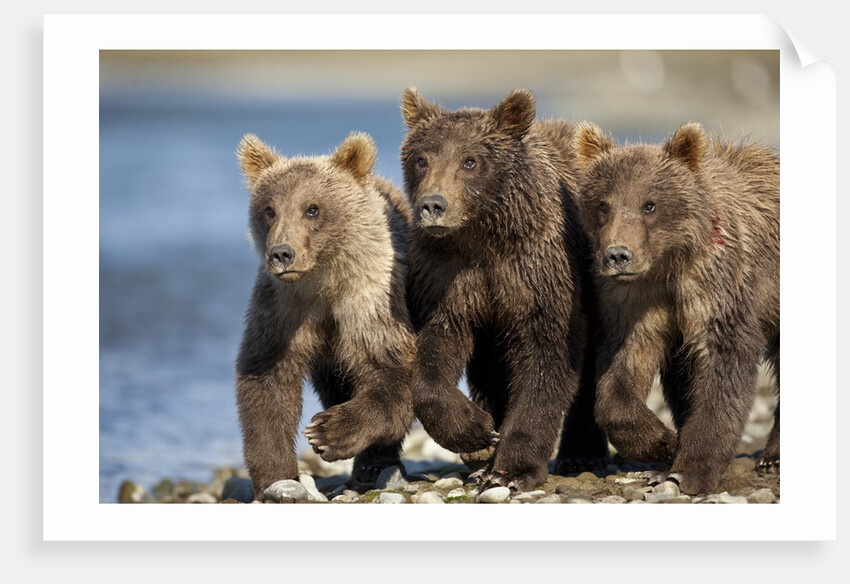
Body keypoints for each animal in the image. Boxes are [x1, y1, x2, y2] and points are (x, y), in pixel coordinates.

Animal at [234, 131, 416, 500]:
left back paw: (373, 464)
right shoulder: (281, 311)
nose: (282, 253)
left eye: (312, 208)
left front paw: (328, 431)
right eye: (269, 209)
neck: (324, 280)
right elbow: (267, 386)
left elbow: (389, 371)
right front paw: (275, 477)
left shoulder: (371, 301)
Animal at [399, 87, 609, 492]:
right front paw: (477, 430)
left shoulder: (538, 272)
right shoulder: (449, 277)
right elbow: (437, 348)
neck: (484, 237)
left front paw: (512, 469)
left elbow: (545, 358)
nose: (433, 204)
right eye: (421, 159)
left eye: (470, 160)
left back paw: (582, 453)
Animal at [571, 120, 780, 495]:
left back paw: (772, 458)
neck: (667, 265)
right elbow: (621, 373)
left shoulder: (717, 285)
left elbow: (723, 368)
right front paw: (663, 442)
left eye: (649, 204)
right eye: (603, 204)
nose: (618, 255)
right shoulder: (635, 302)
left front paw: (690, 470)